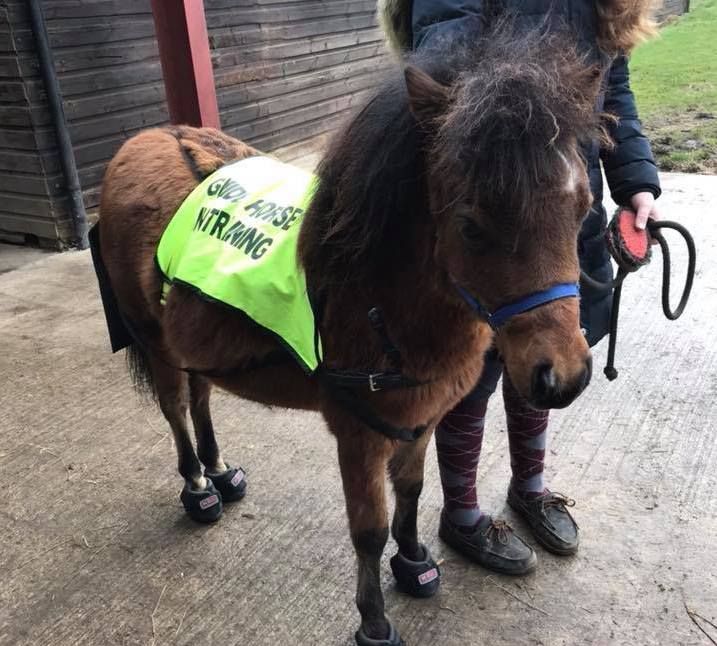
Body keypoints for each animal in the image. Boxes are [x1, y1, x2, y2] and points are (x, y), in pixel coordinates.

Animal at [94, 23, 601, 646]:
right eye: (470, 226)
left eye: (583, 207)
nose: (564, 376)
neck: (372, 296)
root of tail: (146, 139)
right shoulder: (358, 435)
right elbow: (368, 529)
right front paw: (374, 621)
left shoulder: (419, 420)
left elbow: (410, 492)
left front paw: (414, 563)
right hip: (155, 342)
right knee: (174, 406)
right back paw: (197, 486)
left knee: (202, 395)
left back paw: (220, 471)